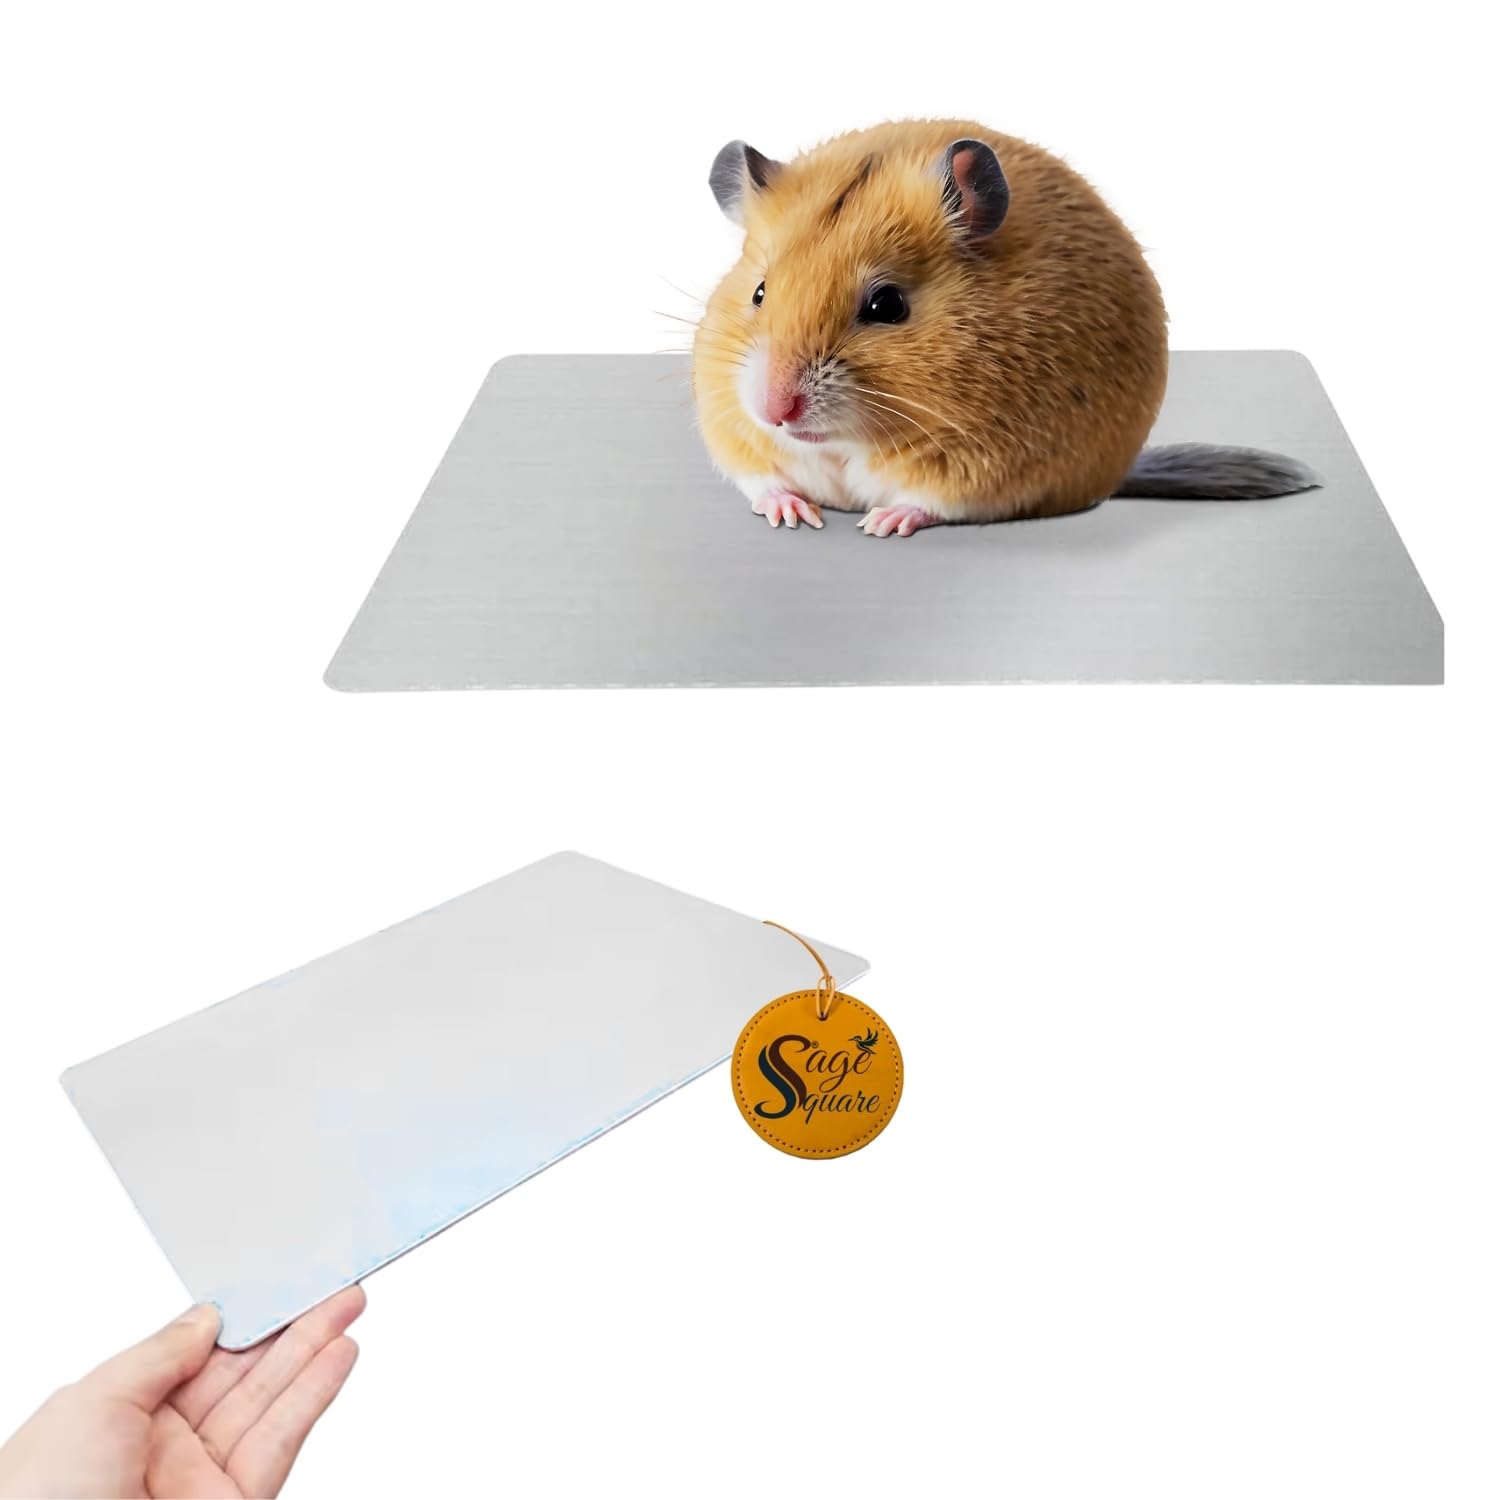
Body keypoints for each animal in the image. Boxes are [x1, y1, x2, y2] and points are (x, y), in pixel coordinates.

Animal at [692, 119, 1317, 536]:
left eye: (887, 305)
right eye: (759, 292)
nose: (774, 410)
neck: (850, 441)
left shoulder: (985, 466)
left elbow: (929, 500)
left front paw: (880, 522)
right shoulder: (733, 431)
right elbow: (763, 479)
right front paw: (793, 514)